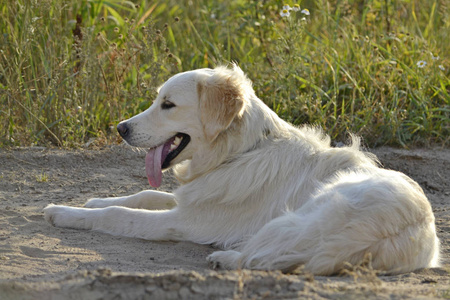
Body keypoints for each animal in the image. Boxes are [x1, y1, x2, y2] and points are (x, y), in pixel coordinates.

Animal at [44, 64, 440, 276]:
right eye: (158, 100)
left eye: (168, 105)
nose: (120, 128)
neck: (238, 153)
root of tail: (411, 226)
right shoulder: (192, 199)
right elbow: (145, 193)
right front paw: (93, 201)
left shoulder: (185, 222)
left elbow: (119, 215)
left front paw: (64, 212)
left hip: (303, 215)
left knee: (259, 257)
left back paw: (224, 257)